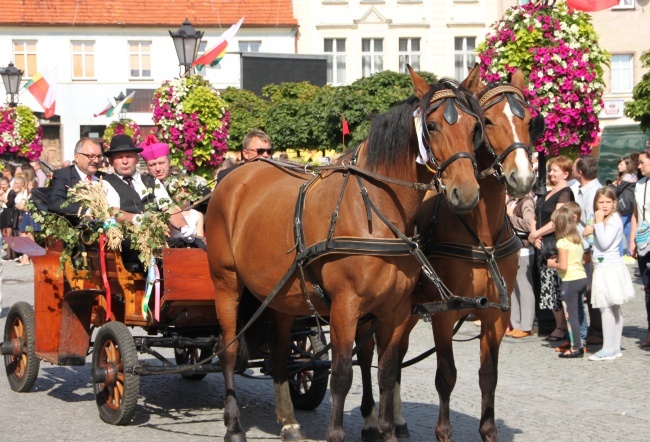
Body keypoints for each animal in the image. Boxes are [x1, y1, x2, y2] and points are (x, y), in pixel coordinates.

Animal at [205, 68, 484, 442]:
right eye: (433, 125)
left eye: (474, 127)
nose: (465, 193)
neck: (374, 209)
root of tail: (236, 176)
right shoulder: (345, 306)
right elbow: (341, 375)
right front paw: (338, 433)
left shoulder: (394, 310)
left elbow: (387, 372)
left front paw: (387, 431)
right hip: (226, 284)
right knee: (230, 350)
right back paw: (234, 425)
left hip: (281, 296)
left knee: (279, 351)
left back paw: (289, 421)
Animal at [356, 66, 540, 442]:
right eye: (488, 122)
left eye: (529, 121)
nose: (524, 178)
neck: (483, 236)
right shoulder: (444, 312)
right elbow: (446, 375)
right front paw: (443, 432)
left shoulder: (494, 316)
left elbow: (488, 377)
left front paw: (488, 431)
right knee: (368, 353)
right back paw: (370, 419)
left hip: (407, 310)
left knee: (395, 355)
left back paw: (395, 418)